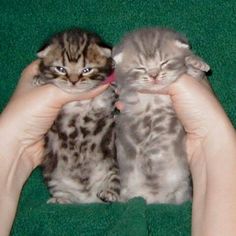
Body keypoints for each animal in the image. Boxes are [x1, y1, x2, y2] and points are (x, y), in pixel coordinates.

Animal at [33, 28, 120, 204]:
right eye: (61, 69)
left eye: (86, 70)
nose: (73, 81)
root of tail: (87, 198)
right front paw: (39, 78)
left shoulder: (107, 97)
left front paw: (114, 65)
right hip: (53, 175)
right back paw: (60, 200)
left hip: (113, 162)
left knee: (114, 180)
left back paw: (109, 193)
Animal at [113, 27, 210, 204]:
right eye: (141, 68)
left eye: (163, 63)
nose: (154, 75)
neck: (154, 95)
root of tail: (154, 199)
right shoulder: (128, 95)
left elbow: (194, 73)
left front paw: (195, 62)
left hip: (180, 192)